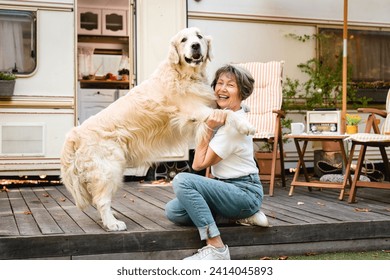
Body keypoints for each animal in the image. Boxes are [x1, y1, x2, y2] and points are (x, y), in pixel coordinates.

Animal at [60, 27, 256, 231]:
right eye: (184, 40)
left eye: (199, 37)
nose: (195, 46)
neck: (185, 75)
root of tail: (76, 133)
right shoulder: (195, 110)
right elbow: (228, 113)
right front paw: (245, 125)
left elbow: (225, 108)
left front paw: (245, 109)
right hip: (109, 169)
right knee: (101, 199)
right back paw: (112, 223)